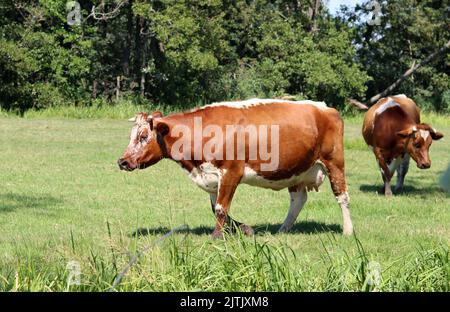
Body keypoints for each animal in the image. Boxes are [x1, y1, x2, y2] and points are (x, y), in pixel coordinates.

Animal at [118, 98, 354, 238]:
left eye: (143, 136)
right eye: (132, 135)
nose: (123, 161)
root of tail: (325, 107)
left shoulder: (231, 172)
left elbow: (221, 208)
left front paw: (216, 237)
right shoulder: (211, 177)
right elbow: (216, 208)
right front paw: (244, 228)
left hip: (334, 163)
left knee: (342, 196)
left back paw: (348, 230)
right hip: (296, 171)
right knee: (298, 200)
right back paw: (282, 229)